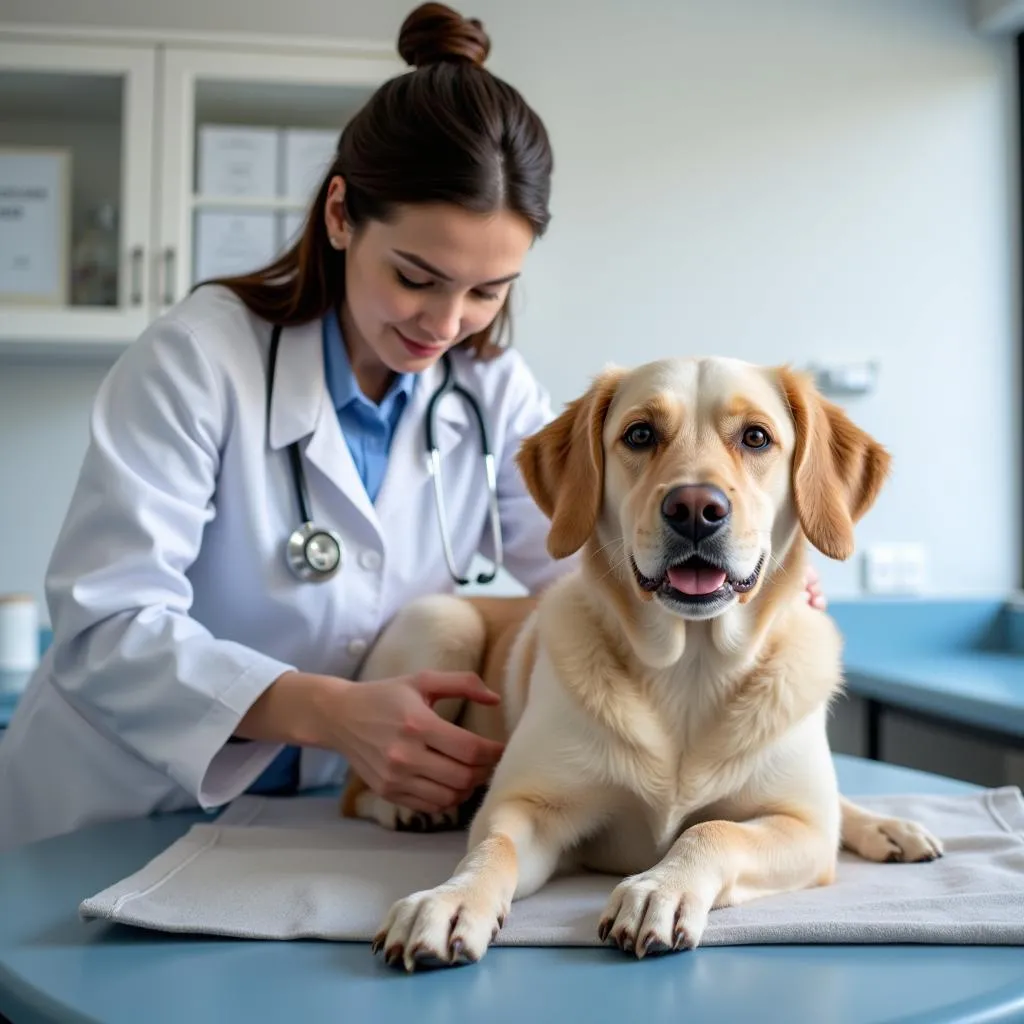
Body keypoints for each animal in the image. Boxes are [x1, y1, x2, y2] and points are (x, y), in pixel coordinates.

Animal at [346, 358, 942, 966]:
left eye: (756, 437)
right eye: (639, 434)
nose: (696, 509)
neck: (691, 667)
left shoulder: (805, 829)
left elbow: (715, 830)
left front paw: (662, 888)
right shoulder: (527, 806)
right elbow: (492, 847)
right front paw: (449, 900)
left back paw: (889, 828)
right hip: (443, 622)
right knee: (358, 786)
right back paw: (407, 809)